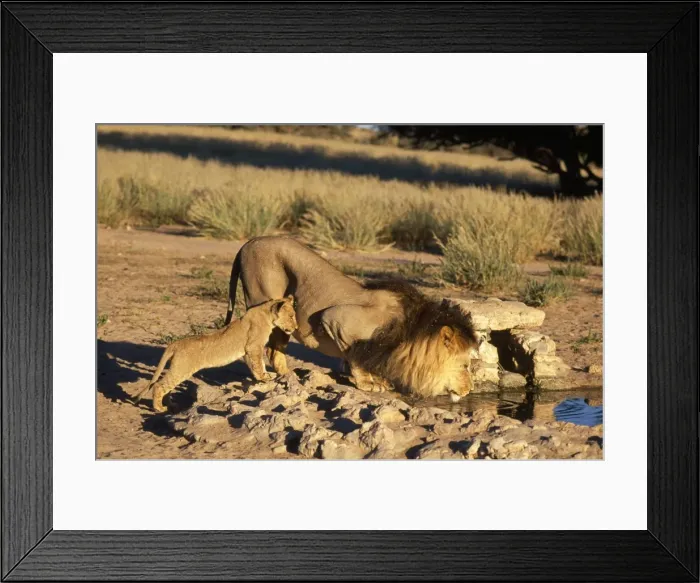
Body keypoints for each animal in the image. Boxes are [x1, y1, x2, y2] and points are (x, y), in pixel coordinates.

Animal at [134, 296, 297, 412]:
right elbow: (258, 364)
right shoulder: (253, 346)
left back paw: (172, 405)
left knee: (167, 387)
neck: (267, 314)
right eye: (291, 316)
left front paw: (263, 377)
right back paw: (159, 408)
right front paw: (265, 377)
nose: (295, 328)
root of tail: (175, 343)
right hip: (181, 369)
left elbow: (256, 365)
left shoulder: (247, 351)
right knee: (159, 385)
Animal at [224, 236, 478, 401]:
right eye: (465, 365)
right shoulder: (337, 319)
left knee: (275, 351)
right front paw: (367, 384)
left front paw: (379, 380)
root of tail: (246, 243)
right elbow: (355, 356)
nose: (470, 391)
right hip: (264, 298)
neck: (410, 333)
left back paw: (288, 376)